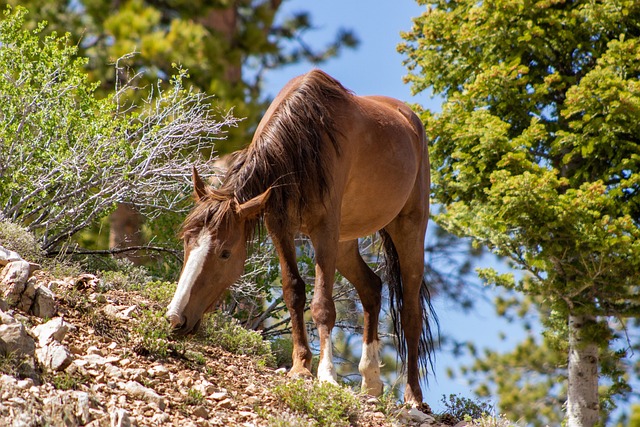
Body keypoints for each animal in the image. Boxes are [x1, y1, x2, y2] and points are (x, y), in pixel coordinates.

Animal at [165, 69, 438, 404]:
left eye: (225, 253)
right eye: (186, 242)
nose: (175, 319)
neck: (303, 142)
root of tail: (410, 120)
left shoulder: (324, 231)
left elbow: (322, 305)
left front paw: (327, 375)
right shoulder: (280, 226)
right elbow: (293, 292)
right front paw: (300, 366)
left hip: (408, 229)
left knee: (411, 312)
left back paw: (413, 396)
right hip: (346, 241)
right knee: (372, 288)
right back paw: (371, 380)